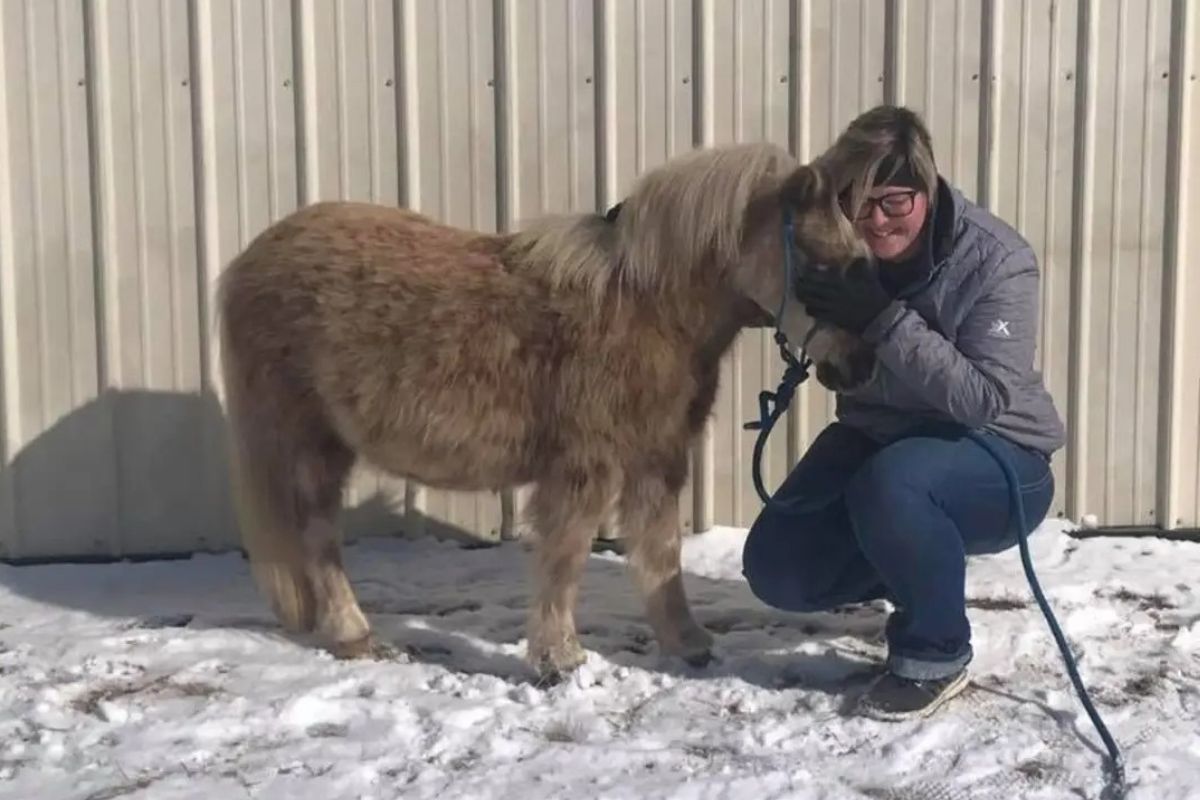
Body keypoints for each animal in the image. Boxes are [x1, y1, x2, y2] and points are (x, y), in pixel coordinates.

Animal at [218, 140, 873, 681]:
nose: (860, 366)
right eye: (819, 262)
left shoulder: (655, 461)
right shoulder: (584, 468)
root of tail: (248, 263)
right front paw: (559, 659)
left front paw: (687, 645)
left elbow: (660, 553)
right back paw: (355, 635)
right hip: (306, 442)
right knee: (317, 537)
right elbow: (567, 557)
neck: (647, 308)